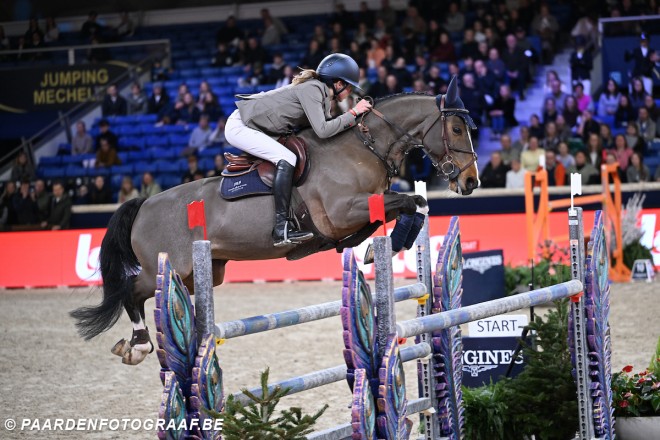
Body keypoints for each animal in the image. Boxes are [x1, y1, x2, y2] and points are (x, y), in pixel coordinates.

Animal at [71, 76, 480, 365]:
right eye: (457, 129)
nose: (471, 182)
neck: (364, 147)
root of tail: (143, 205)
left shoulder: (357, 213)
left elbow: (413, 204)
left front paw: (375, 249)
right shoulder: (342, 212)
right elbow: (409, 201)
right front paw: (380, 248)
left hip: (200, 273)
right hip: (173, 265)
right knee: (131, 291)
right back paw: (138, 347)